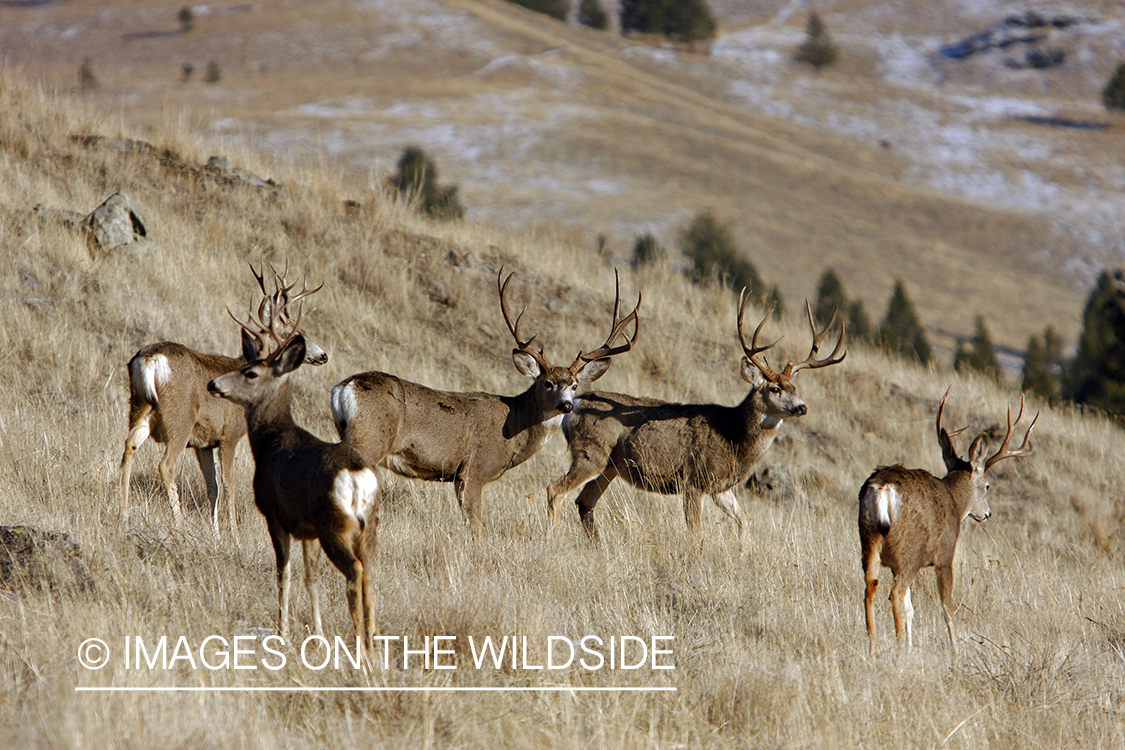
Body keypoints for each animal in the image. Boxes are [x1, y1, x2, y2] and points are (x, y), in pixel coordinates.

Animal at [119, 263, 328, 542]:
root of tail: (150, 359)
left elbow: (213, 486)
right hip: (180, 417)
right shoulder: (230, 435)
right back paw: (180, 526)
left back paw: (123, 515)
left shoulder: (204, 442)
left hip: (140, 406)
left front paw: (216, 535)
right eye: (297, 334)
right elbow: (230, 484)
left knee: (129, 446)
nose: (323, 356)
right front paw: (235, 536)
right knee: (166, 464)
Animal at [207, 292, 378, 650]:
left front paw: (283, 630)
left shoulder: (276, 514)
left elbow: (283, 572)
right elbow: (311, 578)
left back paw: (361, 644)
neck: (269, 440)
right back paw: (374, 641)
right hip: (369, 526)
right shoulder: (307, 530)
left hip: (334, 524)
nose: (213, 383)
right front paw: (318, 633)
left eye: (250, 373)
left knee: (355, 572)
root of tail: (358, 476)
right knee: (370, 573)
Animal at [330, 268, 640, 535]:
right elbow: (477, 527)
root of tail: (343, 387)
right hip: (369, 440)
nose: (566, 405)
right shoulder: (474, 468)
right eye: (547, 383)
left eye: (575, 385)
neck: (513, 428)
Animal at [546, 288, 845, 553]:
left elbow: (744, 521)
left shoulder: (721, 487)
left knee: (584, 502)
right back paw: (554, 539)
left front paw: (742, 553)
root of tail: (573, 406)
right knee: (555, 489)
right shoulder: (694, 480)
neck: (733, 435)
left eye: (795, 388)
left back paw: (598, 546)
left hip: (610, 466)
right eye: (774, 389)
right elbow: (696, 532)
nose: (801, 407)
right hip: (591, 452)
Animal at [859, 389, 1038, 657]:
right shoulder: (945, 556)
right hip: (910, 550)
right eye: (988, 486)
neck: (954, 502)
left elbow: (911, 609)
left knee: (871, 587)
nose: (987, 513)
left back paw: (873, 649)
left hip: (869, 538)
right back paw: (898, 651)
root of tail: (883, 488)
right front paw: (956, 652)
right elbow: (947, 608)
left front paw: (912, 649)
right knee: (896, 594)